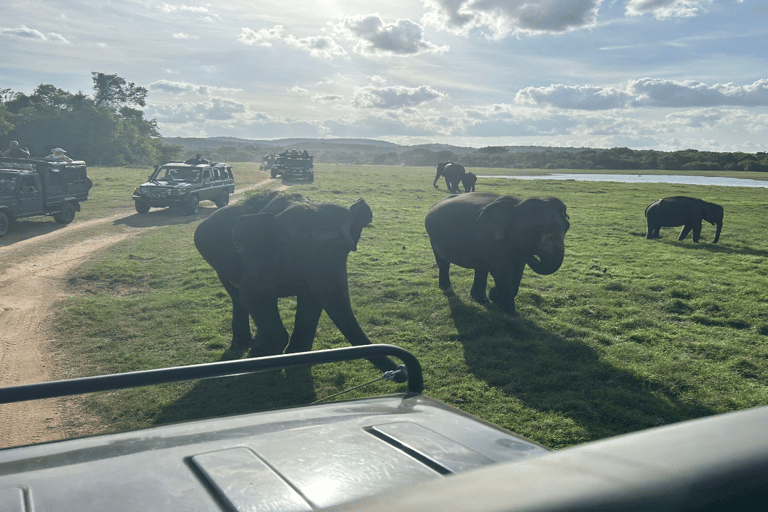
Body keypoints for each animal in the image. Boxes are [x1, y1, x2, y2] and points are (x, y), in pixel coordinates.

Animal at [194, 191, 403, 378]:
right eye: (297, 254)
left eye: (346, 250)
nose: (401, 372)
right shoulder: (256, 260)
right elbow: (254, 298)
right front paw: (261, 356)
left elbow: (312, 302)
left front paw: (296, 357)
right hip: (218, 264)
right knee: (237, 298)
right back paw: (245, 345)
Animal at [425, 192, 570, 315]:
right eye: (532, 231)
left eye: (567, 227)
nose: (531, 255)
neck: (517, 205)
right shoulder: (490, 238)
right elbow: (501, 271)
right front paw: (508, 312)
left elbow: (518, 270)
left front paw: (494, 297)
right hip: (433, 238)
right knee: (443, 263)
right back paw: (447, 288)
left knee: (480, 268)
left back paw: (481, 299)